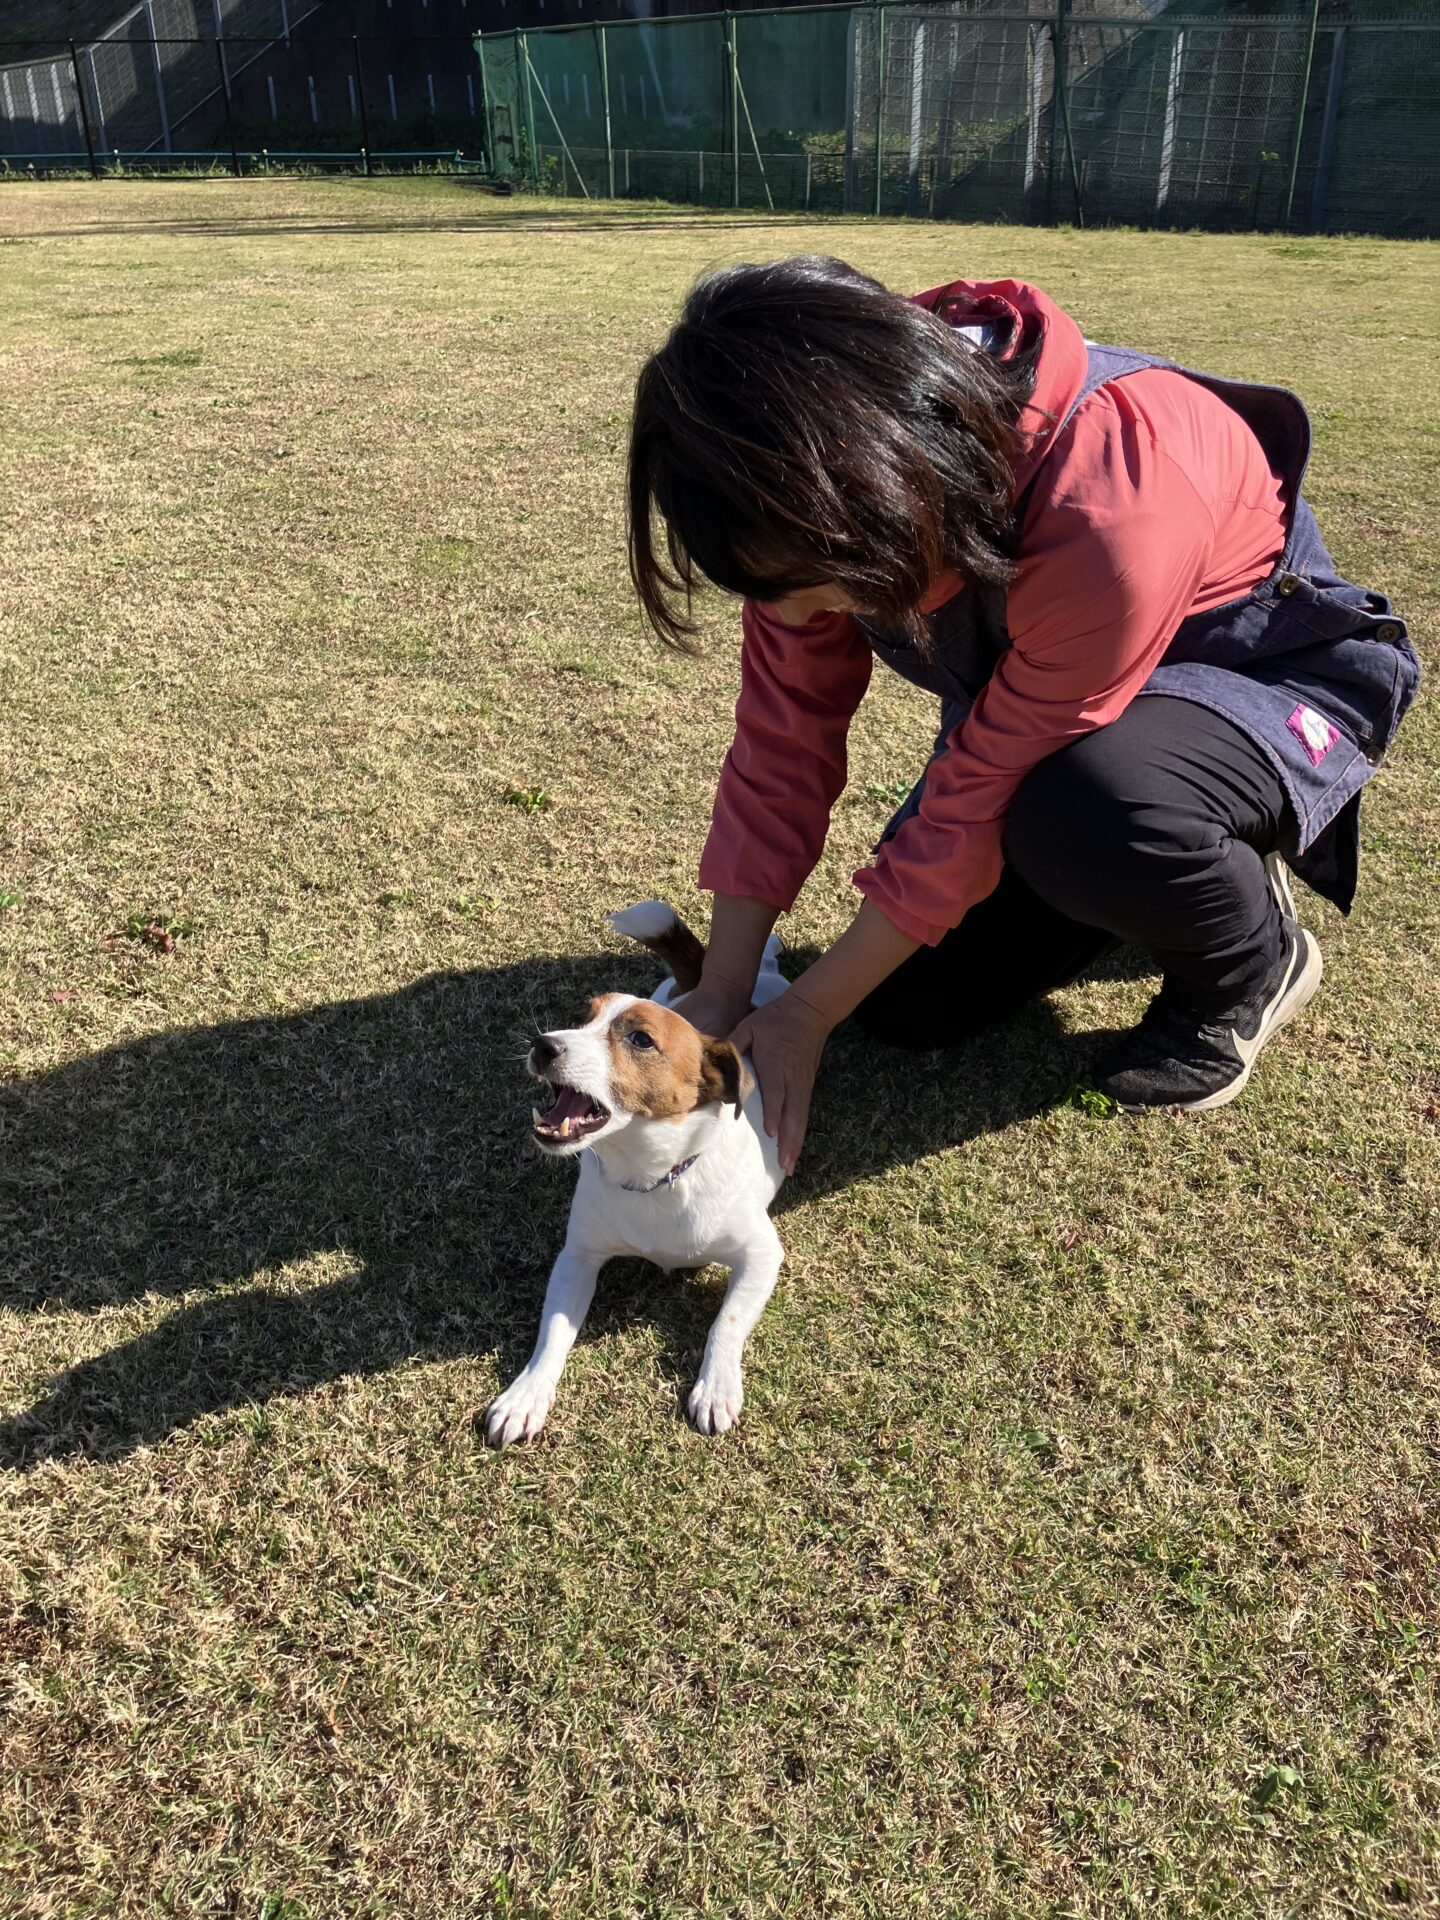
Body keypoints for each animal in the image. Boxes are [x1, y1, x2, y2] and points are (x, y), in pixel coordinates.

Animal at [483, 902, 789, 1447]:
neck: (652, 1178)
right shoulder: (578, 1259)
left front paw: (716, 1386)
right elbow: (551, 1335)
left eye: (640, 1039)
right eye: (582, 1018)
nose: (543, 1044)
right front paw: (526, 1395)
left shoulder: (761, 1255)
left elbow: (726, 1321)